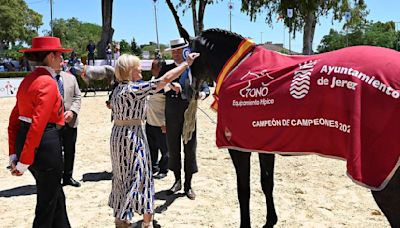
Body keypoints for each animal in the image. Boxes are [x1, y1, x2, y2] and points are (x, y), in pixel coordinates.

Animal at [188, 29, 400, 228]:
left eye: (190, 55)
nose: (191, 89)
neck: (237, 66)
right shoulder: (263, 145)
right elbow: (267, 183)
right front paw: (271, 220)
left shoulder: (238, 148)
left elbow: (243, 190)